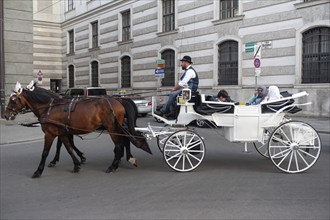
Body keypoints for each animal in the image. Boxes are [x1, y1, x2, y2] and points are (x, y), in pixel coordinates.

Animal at [3, 83, 151, 178]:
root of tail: (118, 100)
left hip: (112, 127)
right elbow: (68, 147)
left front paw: (39, 171)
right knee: (124, 141)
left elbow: (45, 152)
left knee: (120, 144)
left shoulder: (50, 134)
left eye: (13, 99)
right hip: (116, 127)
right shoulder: (63, 132)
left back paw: (113, 166)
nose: (5, 115)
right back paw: (123, 160)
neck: (50, 107)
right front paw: (77, 163)